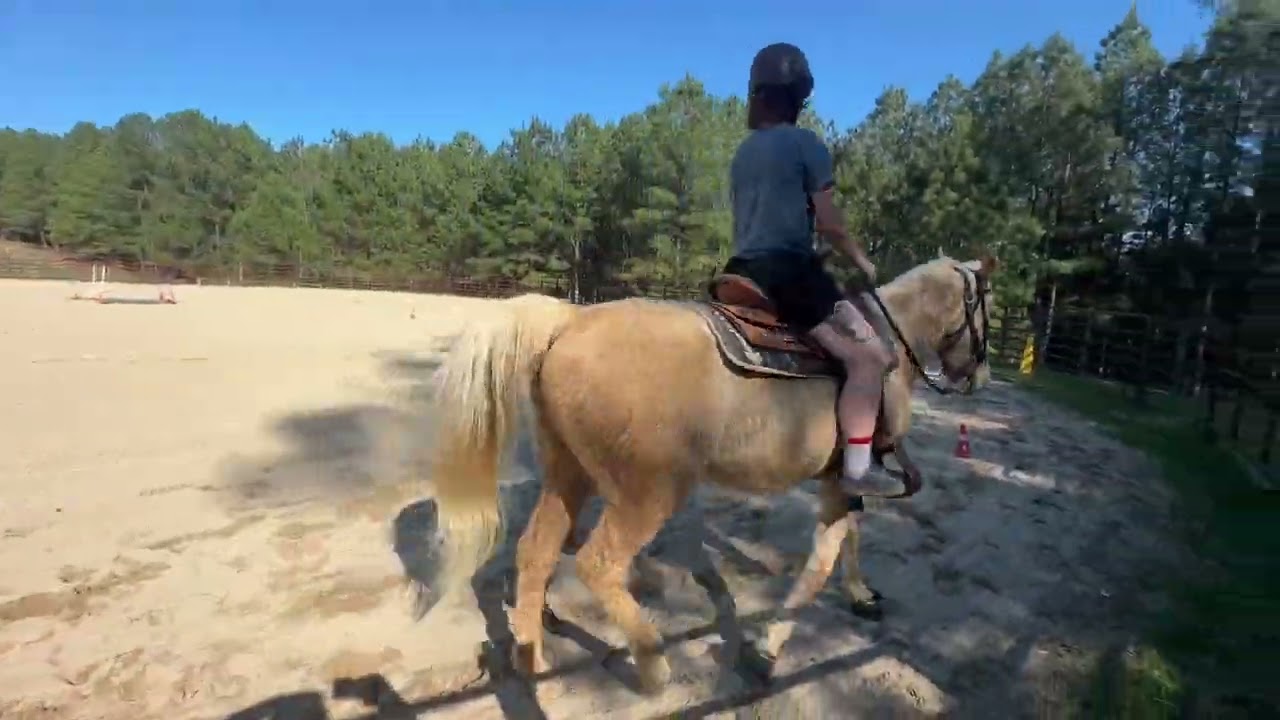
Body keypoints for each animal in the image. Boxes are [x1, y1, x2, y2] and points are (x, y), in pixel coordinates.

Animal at [419, 252, 997, 693]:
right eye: (988, 309)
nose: (979, 375)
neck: (890, 344)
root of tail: (569, 322)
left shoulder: (841, 480)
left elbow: (849, 540)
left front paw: (861, 595)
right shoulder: (842, 480)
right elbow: (823, 561)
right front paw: (767, 651)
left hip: (569, 475)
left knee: (536, 551)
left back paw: (532, 656)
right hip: (649, 492)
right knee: (597, 565)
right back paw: (652, 662)